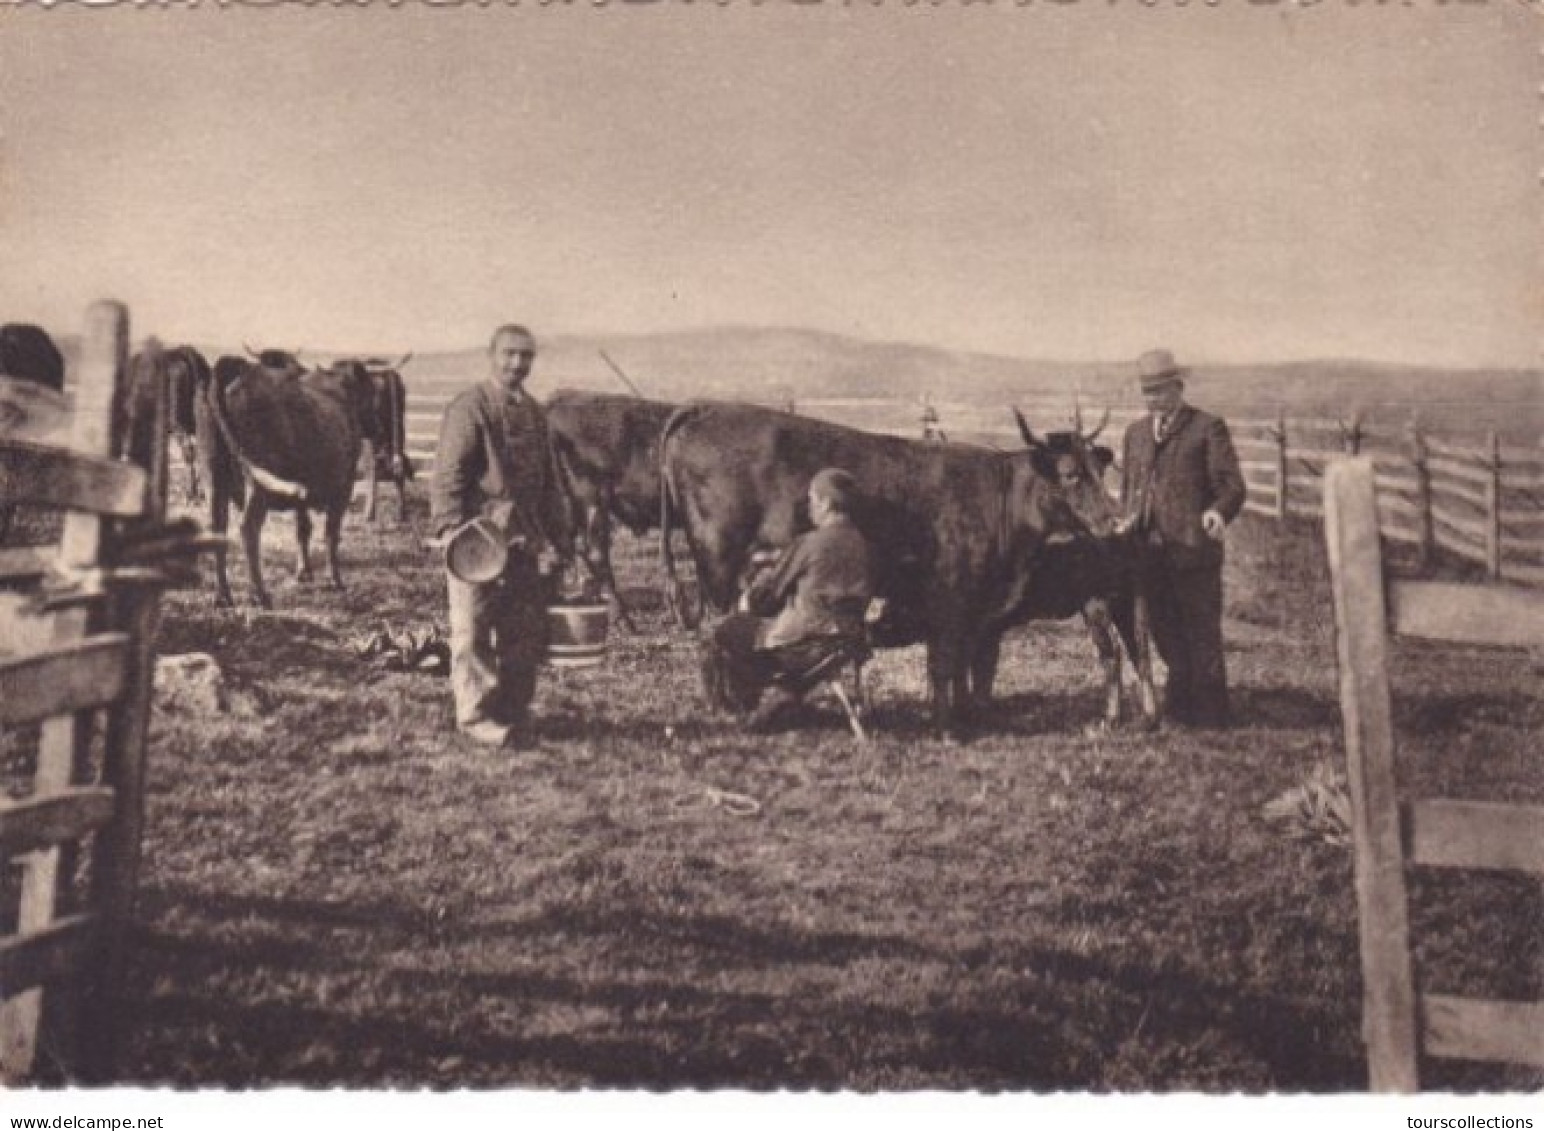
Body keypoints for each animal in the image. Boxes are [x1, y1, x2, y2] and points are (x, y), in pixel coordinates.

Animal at [197, 354, 381, 607]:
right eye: (372, 395)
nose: (379, 430)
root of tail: (238, 367)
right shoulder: (343, 488)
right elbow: (331, 533)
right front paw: (335, 580)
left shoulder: (302, 492)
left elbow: (302, 529)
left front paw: (304, 573)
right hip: (258, 484)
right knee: (249, 528)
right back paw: (259, 594)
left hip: (213, 477)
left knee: (216, 529)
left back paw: (222, 595)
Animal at [654, 401, 1124, 737]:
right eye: (1070, 473)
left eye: (1100, 468)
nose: (1115, 521)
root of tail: (706, 407)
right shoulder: (949, 597)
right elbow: (946, 663)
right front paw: (945, 725)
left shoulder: (975, 608)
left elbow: (969, 663)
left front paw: (966, 713)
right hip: (718, 557)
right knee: (714, 630)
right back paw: (726, 704)